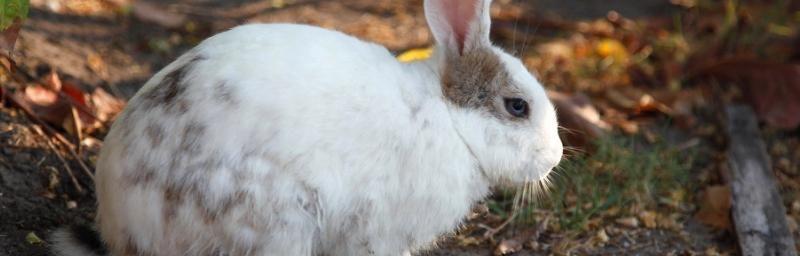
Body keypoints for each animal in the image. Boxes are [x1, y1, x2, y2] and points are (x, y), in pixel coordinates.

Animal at [51, 0, 564, 255]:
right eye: (517, 106)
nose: (554, 156)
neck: (449, 119)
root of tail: (121, 224)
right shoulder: (375, 232)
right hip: (277, 223)